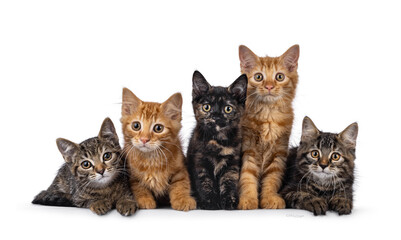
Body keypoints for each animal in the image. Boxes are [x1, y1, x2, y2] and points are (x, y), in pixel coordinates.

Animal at [185, 71, 245, 210]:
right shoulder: (200, 162)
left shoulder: (232, 164)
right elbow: (205, 182)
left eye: (228, 109)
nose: (216, 116)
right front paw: (210, 202)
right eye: (206, 107)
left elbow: (229, 182)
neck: (217, 141)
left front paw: (229, 200)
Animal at [236, 45, 298, 210]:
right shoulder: (248, 149)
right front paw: (248, 199)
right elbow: (247, 176)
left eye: (279, 77)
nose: (269, 86)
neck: (268, 116)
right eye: (258, 77)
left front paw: (270, 197)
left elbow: (272, 179)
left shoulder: (279, 152)